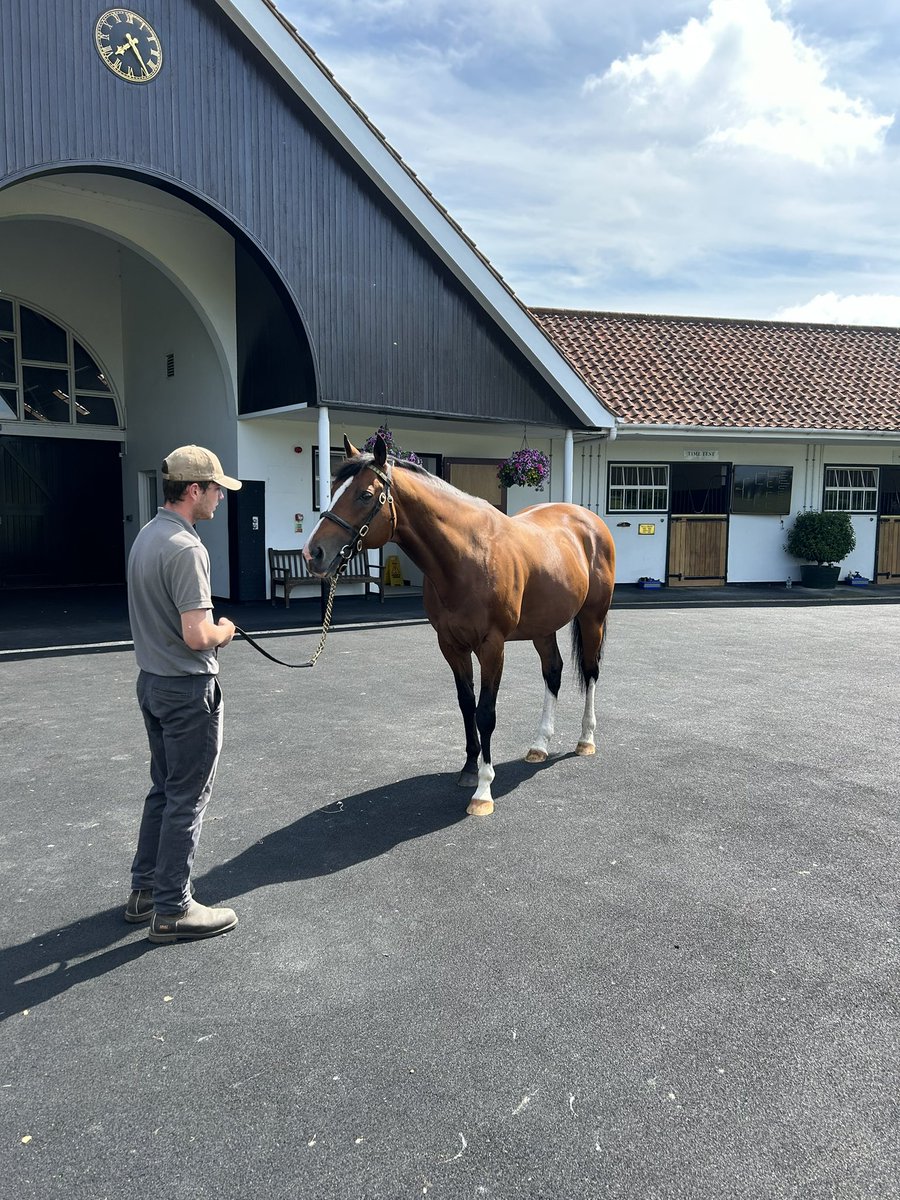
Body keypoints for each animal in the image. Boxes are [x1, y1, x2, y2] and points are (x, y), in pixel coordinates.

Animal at [303, 435, 616, 817]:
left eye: (364, 494)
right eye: (333, 489)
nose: (313, 553)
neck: (467, 556)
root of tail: (588, 520)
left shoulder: (491, 646)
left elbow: (486, 713)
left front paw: (483, 790)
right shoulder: (451, 644)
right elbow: (466, 704)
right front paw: (469, 770)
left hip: (592, 617)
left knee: (591, 670)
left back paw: (586, 739)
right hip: (543, 627)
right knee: (553, 672)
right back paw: (539, 745)